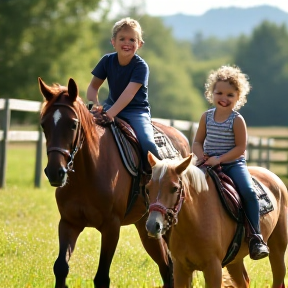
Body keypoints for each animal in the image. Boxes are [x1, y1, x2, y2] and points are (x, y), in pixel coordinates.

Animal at [38, 77, 191, 288]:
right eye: (44, 125)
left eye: (72, 124)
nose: (55, 172)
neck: (87, 174)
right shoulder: (69, 222)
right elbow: (60, 267)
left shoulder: (111, 227)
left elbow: (102, 277)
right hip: (146, 227)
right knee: (167, 268)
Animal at [146, 152, 288, 286]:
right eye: (147, 189)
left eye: (174, 188)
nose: (153, 225)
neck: (195, 222)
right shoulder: (180, 269)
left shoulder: (213, 269)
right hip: (235, 261)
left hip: (277, 251)